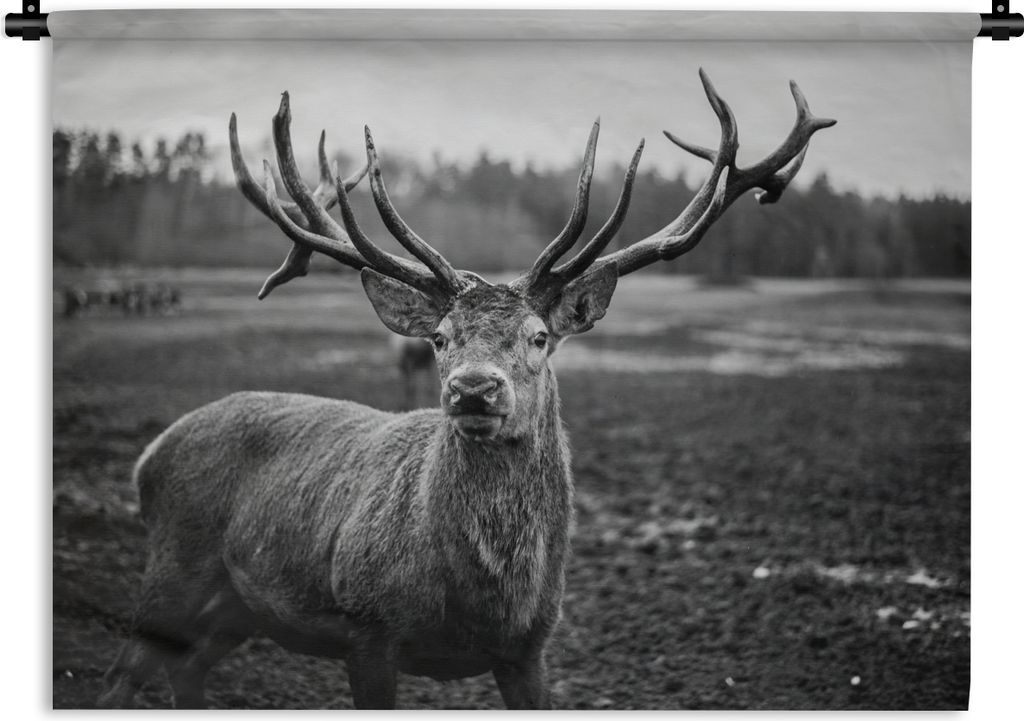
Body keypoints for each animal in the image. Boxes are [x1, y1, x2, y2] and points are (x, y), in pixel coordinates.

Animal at [97, 70, 834, 710]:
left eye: (539, 336)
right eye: (440, 337)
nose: (474, 389)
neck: (481, 603)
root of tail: (147, 457)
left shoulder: (531, 648)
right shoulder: (367, 627)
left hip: (234, 611)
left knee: (186, 671)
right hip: (172, 573)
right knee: (120, 677)